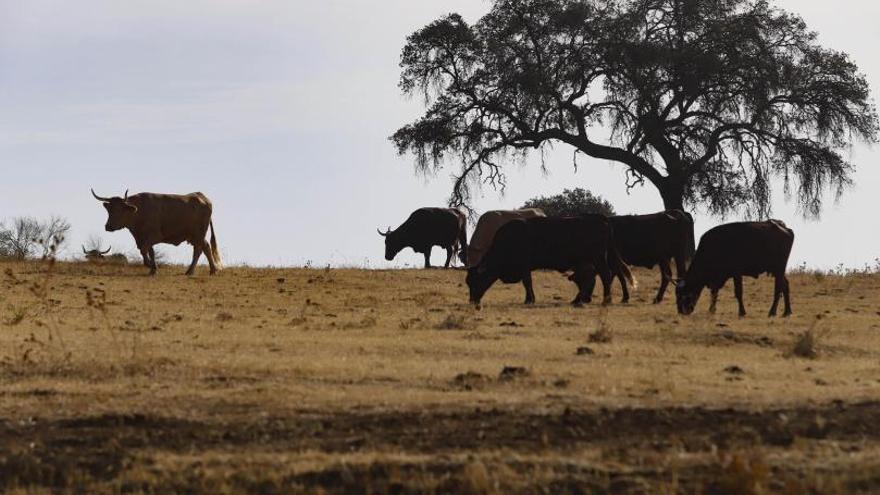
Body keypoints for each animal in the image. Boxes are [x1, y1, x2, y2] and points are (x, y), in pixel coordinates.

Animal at [90, 189, 222, 278]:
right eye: (109, 210)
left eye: (120, 210)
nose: (108, 226)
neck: (139, 211)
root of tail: (201, 196)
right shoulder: (143, 238)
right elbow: (150, 252)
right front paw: (153, 269)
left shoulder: (154, 236)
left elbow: (144, 250)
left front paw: (150, 265)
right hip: (194, 236)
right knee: (206, 247)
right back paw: (211, 270)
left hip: (198, 234)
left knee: (199, 250)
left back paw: (192, 271)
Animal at [464, 216, 636, 308]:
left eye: (475, 280)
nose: (472, 301)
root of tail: (600, 219)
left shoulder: (524, 267)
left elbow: (527, 282)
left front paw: (529, 299)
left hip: (598, 258)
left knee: (606, 275)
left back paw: (606, 300)